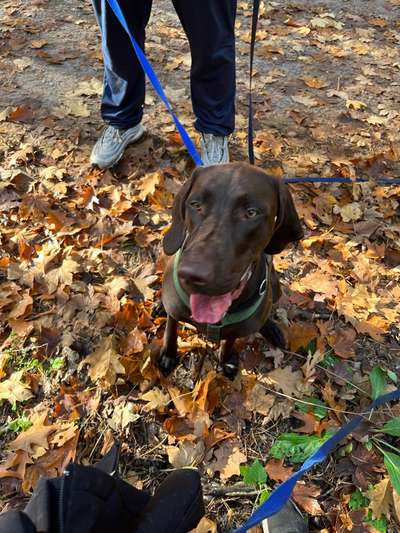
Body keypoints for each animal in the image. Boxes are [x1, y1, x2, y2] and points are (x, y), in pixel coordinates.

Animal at [158, 162, 302, 378]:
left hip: (276, 288)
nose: (191, 274)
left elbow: (229, 342)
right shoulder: (174, 312)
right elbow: (170, 331)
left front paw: (225, 360)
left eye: (251, 212)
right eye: (195, 204)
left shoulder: (237, 330)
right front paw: (168, 355)